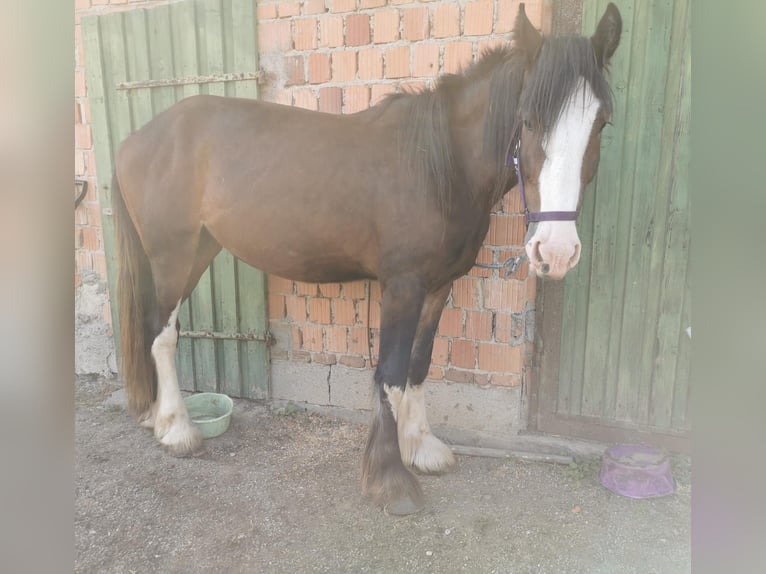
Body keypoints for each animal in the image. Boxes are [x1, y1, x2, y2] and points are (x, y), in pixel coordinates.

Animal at [112, 3, 622, 515]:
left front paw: (421, 447)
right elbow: (391, 373)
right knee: (162, 334)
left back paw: (158, 419)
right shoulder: (403, 285)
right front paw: (391, 478)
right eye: (529, 120)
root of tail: (137, 139)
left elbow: (418, 364)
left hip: (201, 248)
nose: (556, 251)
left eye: (601, 124)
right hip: (173, 254)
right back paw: (177, 429)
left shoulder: (439, 286)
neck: (438, 164)